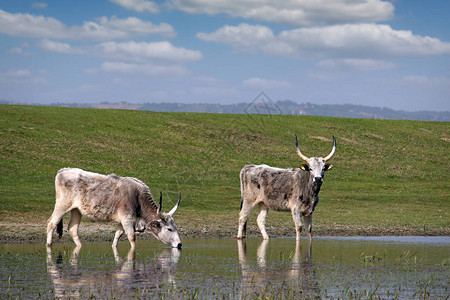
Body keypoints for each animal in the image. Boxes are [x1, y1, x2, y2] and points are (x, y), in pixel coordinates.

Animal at [44, 168, 180, 250]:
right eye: (169, 228)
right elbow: (132, 237)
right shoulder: (127, 218)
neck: (138, 196)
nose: (180, 244)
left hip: (77, 210)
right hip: (62, 205)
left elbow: (118, 235)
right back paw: (49, 244)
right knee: (52, 222)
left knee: (72, 228)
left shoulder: (123, 220)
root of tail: (63, 170)